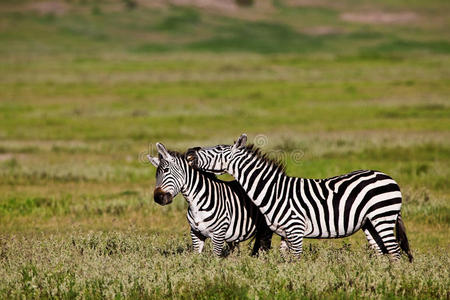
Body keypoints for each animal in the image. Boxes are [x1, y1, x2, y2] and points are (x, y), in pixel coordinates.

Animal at [185, 134, 414, 260]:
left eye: (217, 149)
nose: (190, 152)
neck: (273, 191)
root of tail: (387, 177)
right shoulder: (284, 233)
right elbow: (286, 260)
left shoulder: (296, 230)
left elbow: (296, 259)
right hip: (369, 223)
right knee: (382, 251)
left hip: (383, 216)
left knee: (394, 251)